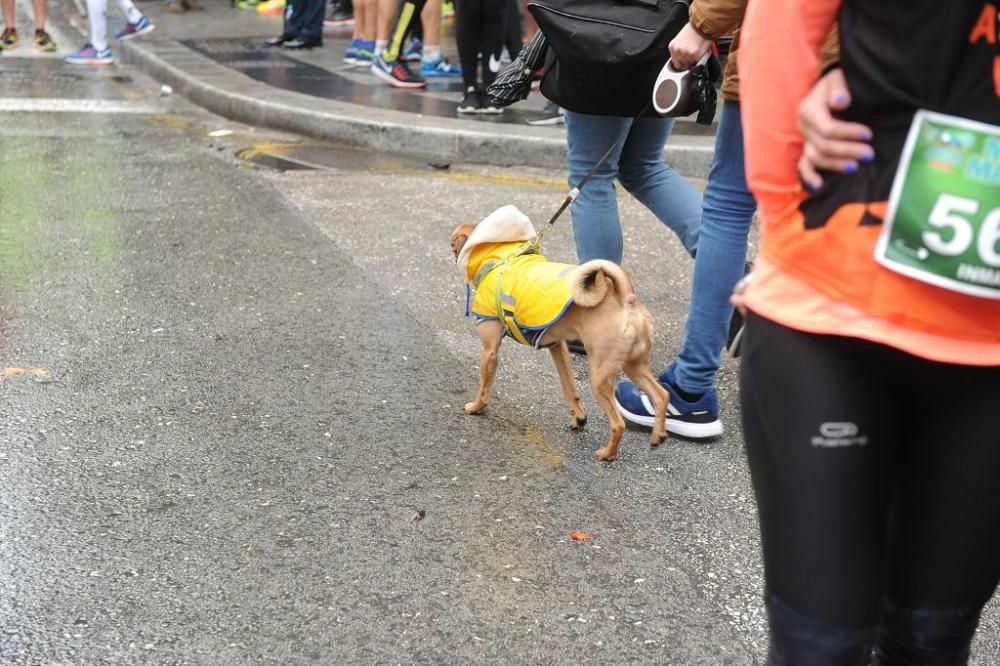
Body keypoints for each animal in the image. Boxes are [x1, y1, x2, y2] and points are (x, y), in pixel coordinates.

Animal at [452, 205, 668, 460]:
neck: (499, 257)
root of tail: (626, 300)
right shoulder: (557, 347)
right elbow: (569, 387)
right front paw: (579, 417)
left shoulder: (490, 351)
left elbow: (484, 385)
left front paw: (476, 407)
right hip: (634, 365)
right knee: (661, 395)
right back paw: (658, 434)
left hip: (600, 377)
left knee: (618, 424)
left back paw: (607, 454)